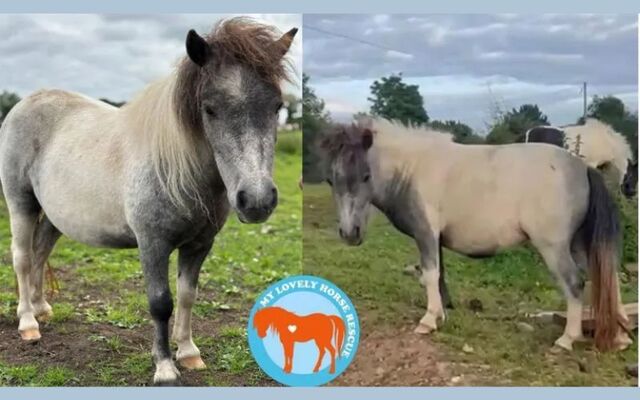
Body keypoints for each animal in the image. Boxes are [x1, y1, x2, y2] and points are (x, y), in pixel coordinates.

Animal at [0, 18, 297, 385]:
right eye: (210, 109)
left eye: (277, 106)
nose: (256, 200)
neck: (177, 168)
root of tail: (26, 103)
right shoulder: (152, 244)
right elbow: (161, 303)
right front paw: (165, 366)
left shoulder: (199, 245)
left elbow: (187, 296)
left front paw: (188, 352)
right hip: (21, 204)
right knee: (23, 258)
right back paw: (28, 322)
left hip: (55, 217)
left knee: (41, 252)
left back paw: (42, 309)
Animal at [318, 118, 633, 353]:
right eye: (331, 180)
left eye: (365, 177)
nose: (349, 233)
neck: (412, 169)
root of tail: (583, 167)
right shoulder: (435, 239)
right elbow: (439, 276)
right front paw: (441, 314)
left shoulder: (425, 233)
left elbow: (429, 275)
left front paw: (428, 321)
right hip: (578, 243)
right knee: (606, 275)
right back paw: (620, 336)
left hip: (554, 247)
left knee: (575, 283)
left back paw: (567, 339)